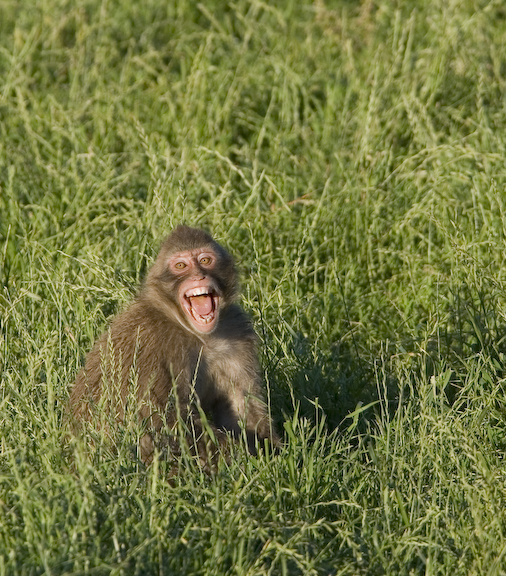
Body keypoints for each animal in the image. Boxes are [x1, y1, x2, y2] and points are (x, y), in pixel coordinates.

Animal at [68, 225, 278, 464]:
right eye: (180, 266)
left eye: (205, 260)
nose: (198, 276)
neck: (198, 334)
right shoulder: (153, 345)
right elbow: (161, 419)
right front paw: (245, 459)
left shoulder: (237, 329)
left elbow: (242, 407)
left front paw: (275, 455)